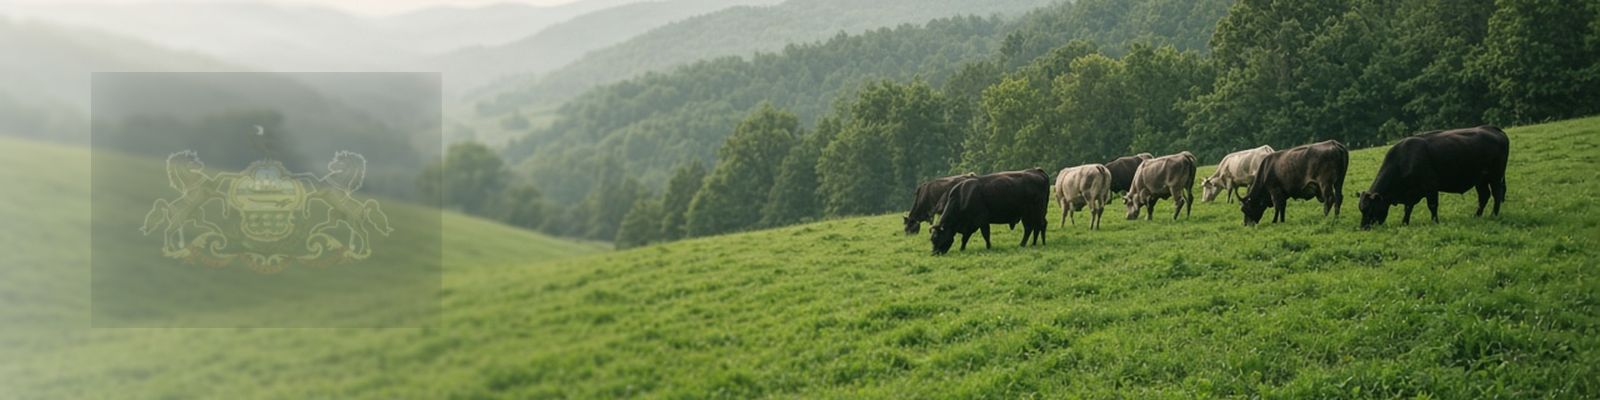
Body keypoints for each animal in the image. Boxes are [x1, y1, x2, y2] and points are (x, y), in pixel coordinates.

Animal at [1357, 126, 1509, 229]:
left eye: (1370, 209)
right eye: (1361, 209)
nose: (1364, 228)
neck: (1403, 160)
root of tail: (1492, 128)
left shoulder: (1431, 187)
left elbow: (1432, 206)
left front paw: (1435, 221)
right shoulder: (1411, 193)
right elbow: (1408, 208)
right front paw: (1405, 223)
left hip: (1495, 177)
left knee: (1496, 194)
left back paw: (1493, 215)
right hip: (1480, 180)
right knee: (1484, 196)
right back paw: (1476, 216)